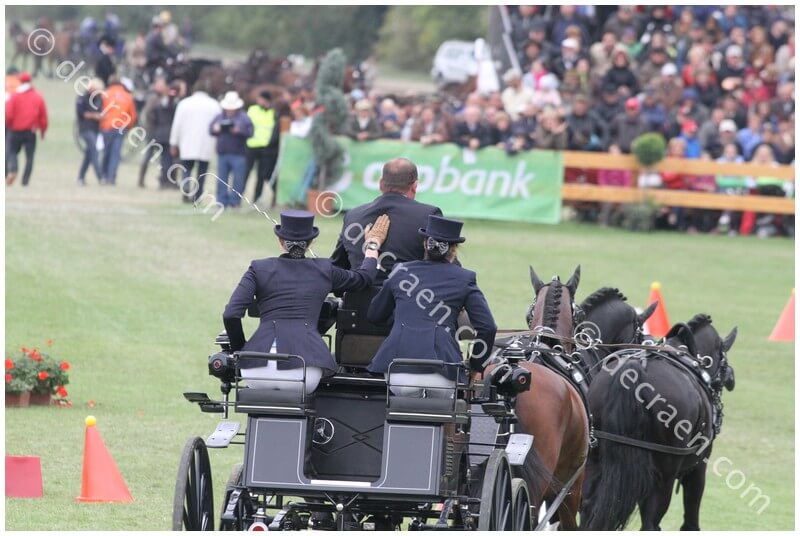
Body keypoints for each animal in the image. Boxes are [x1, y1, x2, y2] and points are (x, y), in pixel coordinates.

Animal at [580, 314, 737, 530]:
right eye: (723, 363)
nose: (730, 379)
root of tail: (637, 367)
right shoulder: (697, 470)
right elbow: (690, 521)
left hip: (596, 460)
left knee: (587, 507)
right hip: (663, 477)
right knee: (650, 522)